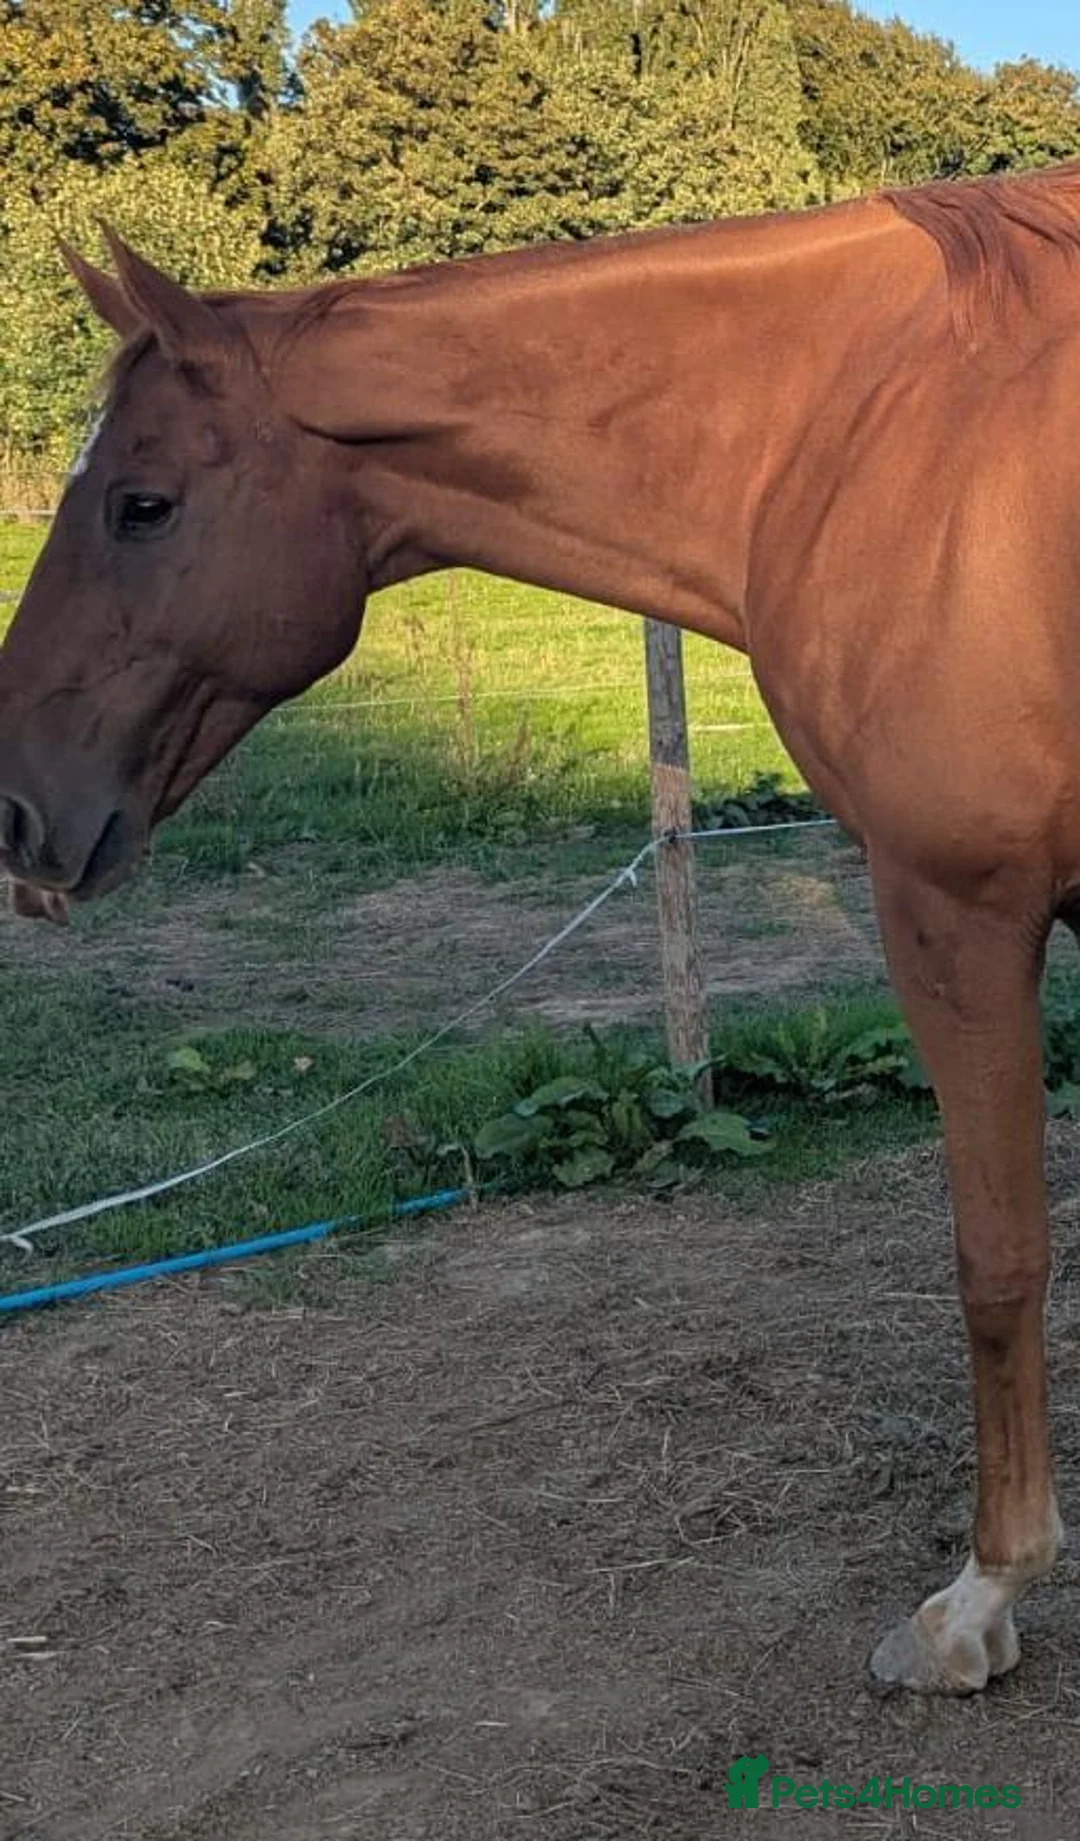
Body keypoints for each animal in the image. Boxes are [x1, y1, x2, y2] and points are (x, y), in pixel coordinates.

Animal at [4, 162, 1080, 1697]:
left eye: (142, 506)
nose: (16, 816)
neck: (889, 434)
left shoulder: (955, 909)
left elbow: (999, 1258)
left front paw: (981, 1596)